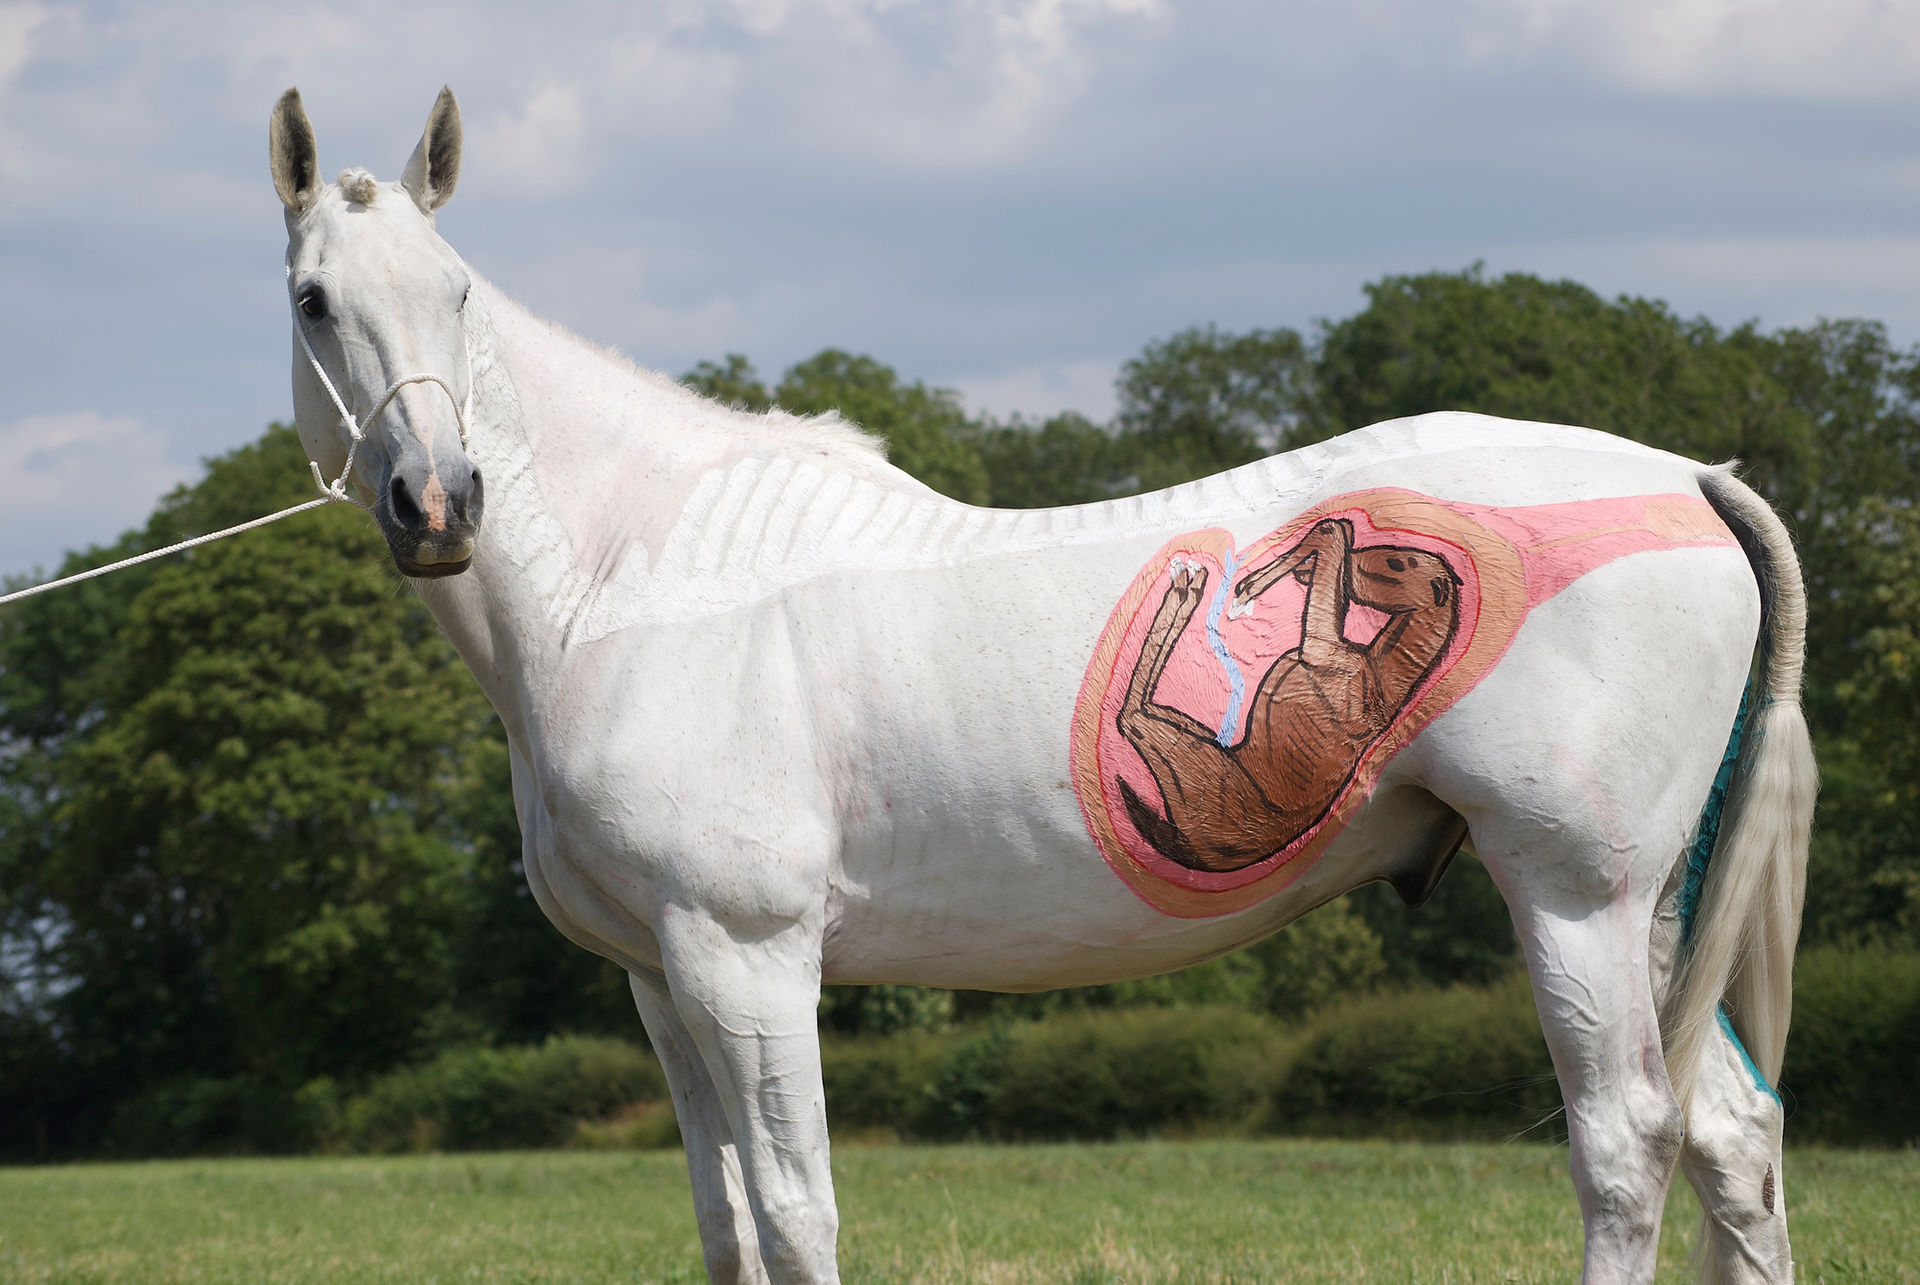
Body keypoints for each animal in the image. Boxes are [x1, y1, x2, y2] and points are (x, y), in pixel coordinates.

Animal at [268, 86, 1814, 1284]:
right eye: (314, 299)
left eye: (458, 292)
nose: (438, 502)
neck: (641, 580)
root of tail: (1688, 478)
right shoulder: (661, 977)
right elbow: (729, 1226)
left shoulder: (747, 956)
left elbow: (797, 1213)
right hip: (1652, 905)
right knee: (1733, 1138)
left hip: (1573, 890)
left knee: (1628, 1142)